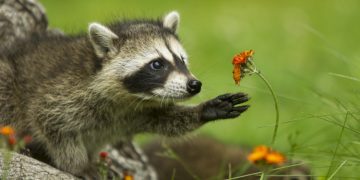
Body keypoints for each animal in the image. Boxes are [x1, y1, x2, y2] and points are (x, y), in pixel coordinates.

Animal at [0, 11, 249, 177]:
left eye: (182, 60)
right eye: (157, 64)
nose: (194, 85)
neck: (129, 97)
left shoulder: (137, 112)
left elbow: (165, 120)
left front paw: (204, 110)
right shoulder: (62, 92)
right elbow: (51, 124)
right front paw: (78, 165)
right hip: (8, 81)